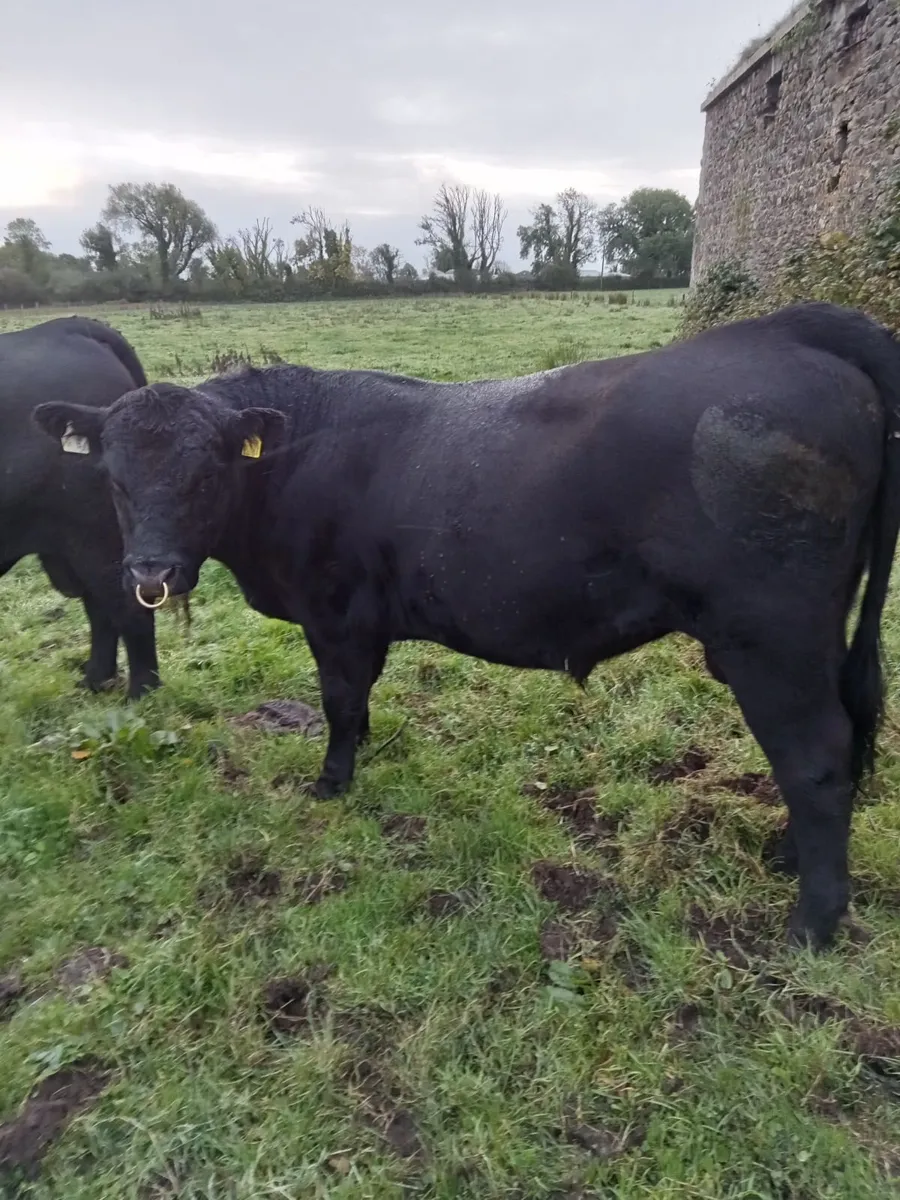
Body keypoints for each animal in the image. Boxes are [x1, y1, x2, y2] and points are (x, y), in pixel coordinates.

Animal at [1, 317, 159, 698]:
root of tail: (67, 326)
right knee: (99, 606)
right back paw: (96, 680)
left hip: (93, 533)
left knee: (126, 606)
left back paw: (141, 694)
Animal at [34, 302, 900, 949]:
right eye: (113, 477)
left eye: (206, 471)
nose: (149, 574)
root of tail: (784, 331)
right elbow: (359, 701)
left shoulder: (334, 614)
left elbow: (339, 702)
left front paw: (331, 783)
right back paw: (792, 857)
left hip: (770, 639)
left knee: (817, 757)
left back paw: (813, 922)